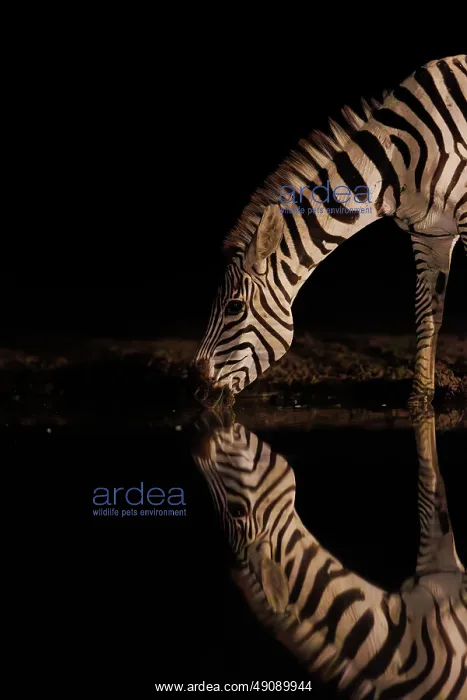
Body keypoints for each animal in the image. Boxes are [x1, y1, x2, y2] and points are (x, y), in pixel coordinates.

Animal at [191, 55, 467, 408]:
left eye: (234, 308)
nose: (197, 391)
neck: (394, 160)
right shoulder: (429, 234)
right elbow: (426, 315)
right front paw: (419, 400)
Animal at [191, 411, 467, 698]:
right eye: (237, 510)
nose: (199, 428)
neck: (394, 651)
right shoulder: (442, 574)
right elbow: (430, 482)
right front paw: (423, 401)